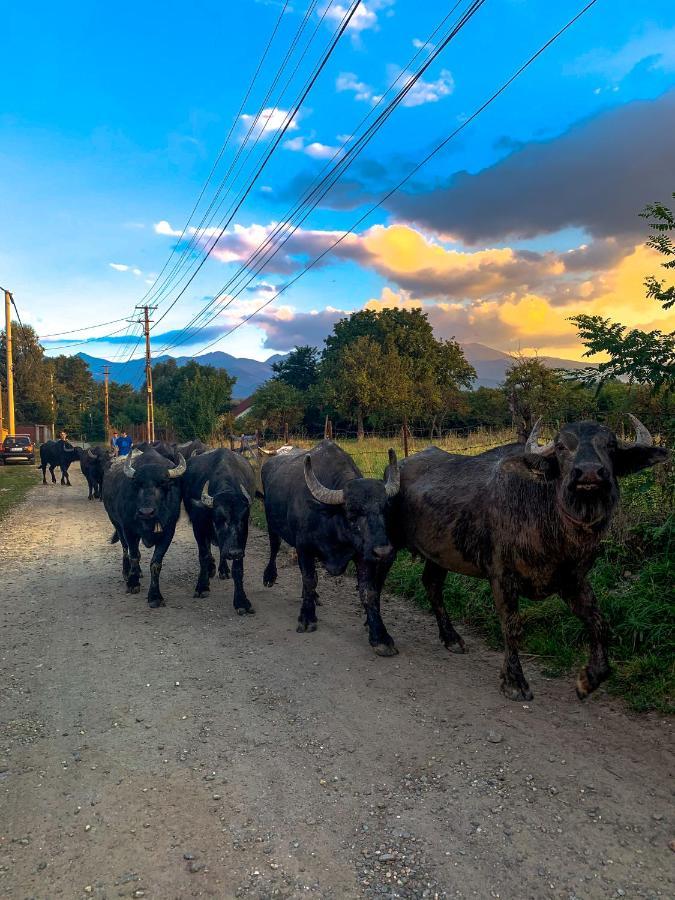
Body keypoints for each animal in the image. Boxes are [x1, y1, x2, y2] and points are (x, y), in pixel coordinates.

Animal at [103, 446, 187, 608]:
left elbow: (155, 563)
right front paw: (132, 583)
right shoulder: (128, 529)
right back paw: (127, 572)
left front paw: (155, 596)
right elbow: (134, 555)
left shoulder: (168, 532)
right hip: (116, 523)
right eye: (137, 484)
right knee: (125, 549)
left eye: (163, 483)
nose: (146, 512)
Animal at [182, 448, 256, 612]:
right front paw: (202, 586)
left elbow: (238, 568)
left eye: (242, 520)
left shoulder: (242, 537)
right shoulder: (199, 527)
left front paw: (241, 601)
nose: (234, 552)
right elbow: (203, 555)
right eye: (220, 519)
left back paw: (223, 570)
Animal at [262, 438, 402, 652]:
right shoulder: (304, 548)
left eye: (385, 510)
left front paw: (380, 636)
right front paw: (307, 618)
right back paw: (270, 576)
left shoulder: (363, 555)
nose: (384, 552)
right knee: (274, 548)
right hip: (272, 525)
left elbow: (368, 592)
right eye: (352, 513)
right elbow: (309, 580)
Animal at [390, 414, 672, 704]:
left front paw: (589, 679)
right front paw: (515, 682)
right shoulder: (501, 576)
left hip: (438, 555)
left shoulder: (572, 579)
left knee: (432, 585)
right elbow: (512, 626)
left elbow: (599, 622)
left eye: (611, 445)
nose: (589, 473)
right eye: (561, 447)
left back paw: (451, 638)